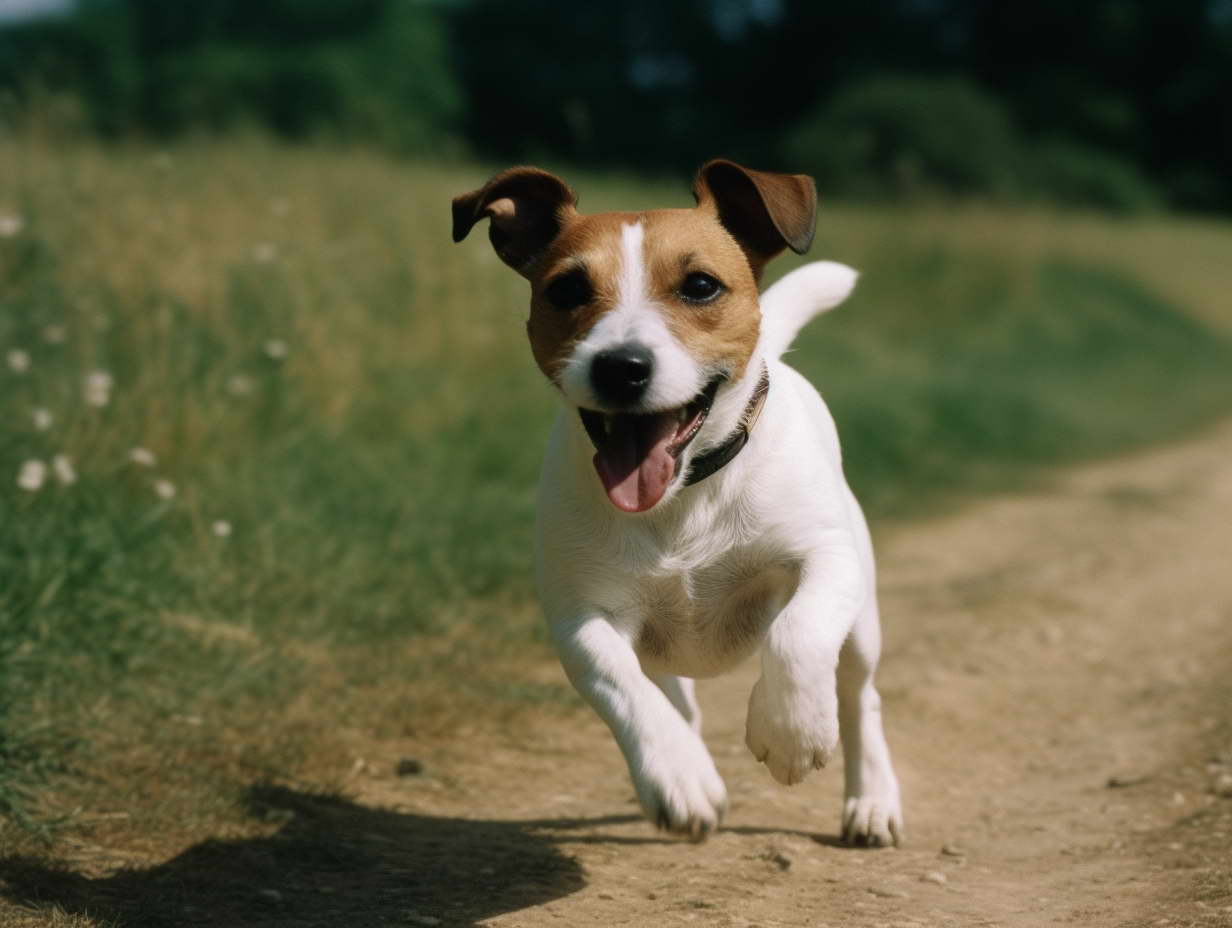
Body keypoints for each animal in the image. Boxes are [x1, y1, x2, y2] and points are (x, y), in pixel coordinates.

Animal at [453, 161, 906, 847]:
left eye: (700, 286)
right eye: (566, 290)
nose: (620, 367)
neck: (685, 494)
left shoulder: (828, 560)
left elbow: (797, 635)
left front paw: (788, 732)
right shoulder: (580, 617)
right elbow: (621, 684)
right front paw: (679, 775)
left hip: (863, 620)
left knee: (859, 695)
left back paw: (872, 799)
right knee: (673, 695)